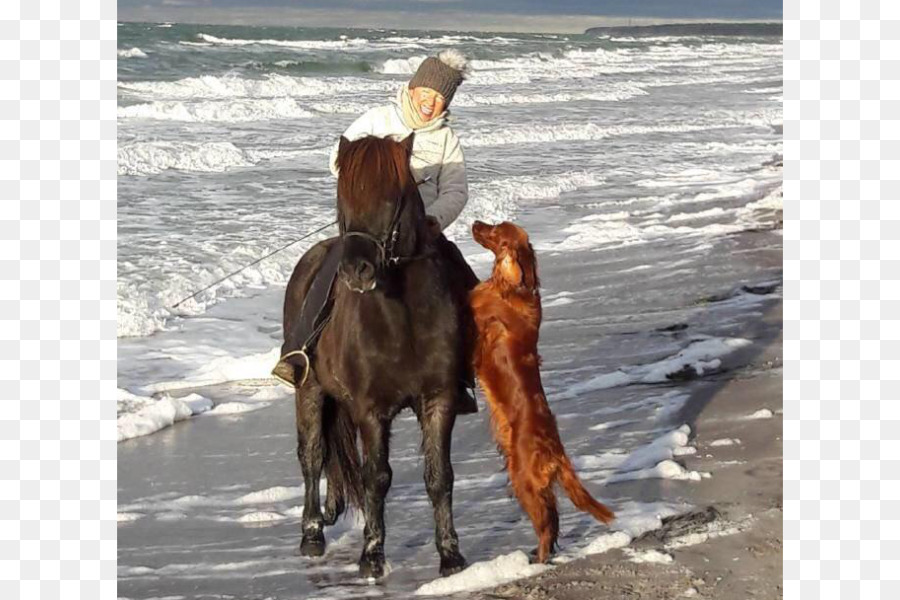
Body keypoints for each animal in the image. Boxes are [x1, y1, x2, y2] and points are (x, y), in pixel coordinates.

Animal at [284, 135, 472, 576]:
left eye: (393, 196)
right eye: (343, 197)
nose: (357, 270)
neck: (401, 318)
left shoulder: (438, 400)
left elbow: (439, 475)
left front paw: (450, 555)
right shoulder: (371, 410)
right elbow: (376, 477)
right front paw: (371, 555)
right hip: (309, 389)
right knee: (312, 455)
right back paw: (312, 533)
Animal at [472, 220, 612, 564]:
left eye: (494, 230)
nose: (475, 223)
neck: (514, 289)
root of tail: (556, 451)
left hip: (522, 481)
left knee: (546, 525)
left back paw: (537, 560)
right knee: (553, 521)